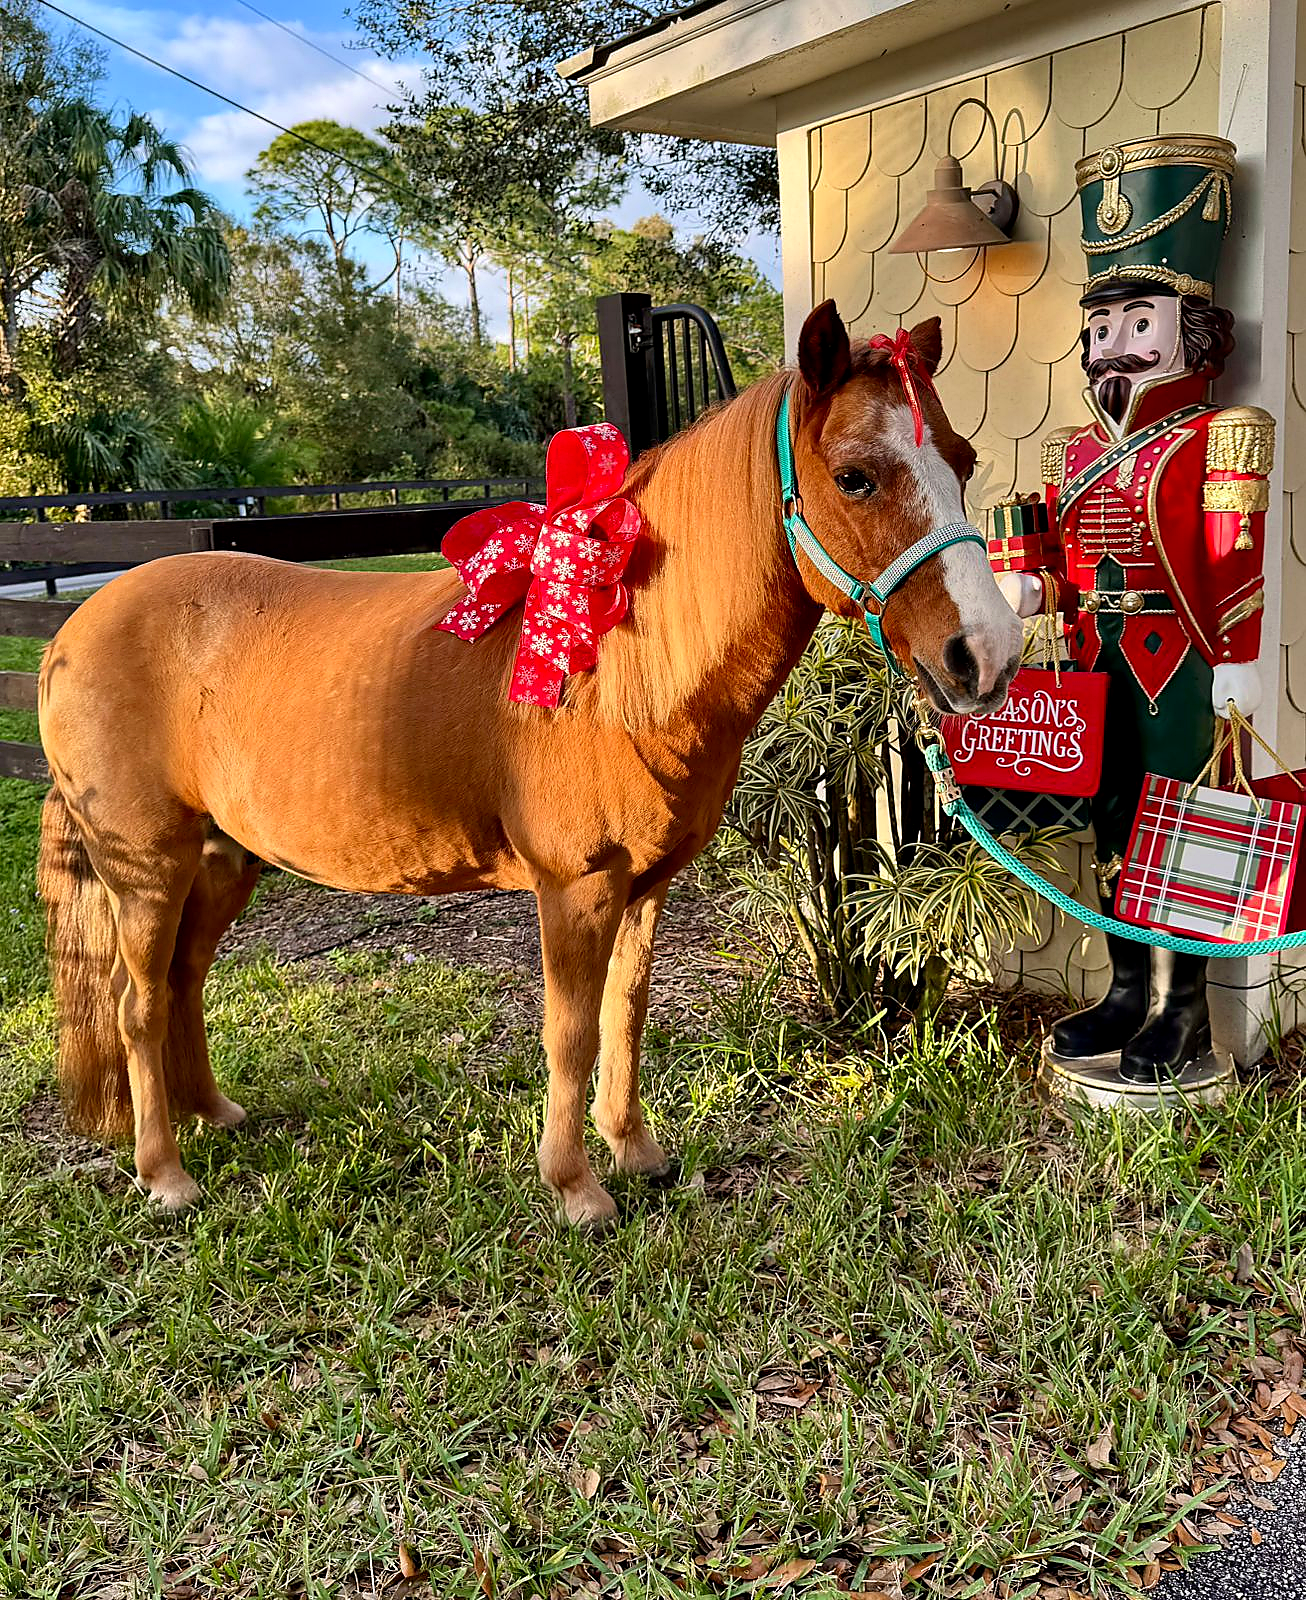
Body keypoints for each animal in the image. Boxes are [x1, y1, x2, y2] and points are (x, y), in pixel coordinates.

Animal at [36, 301, 1022, 1228]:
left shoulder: (645, 885)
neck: (616, 670)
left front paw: (636, 1152)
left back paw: (215, 1114)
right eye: (855, 476)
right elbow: (571, 1033)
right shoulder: (574, 886)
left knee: (183, 982)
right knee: (135, 1002)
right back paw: (166, 1174)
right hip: (146, 866)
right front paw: (577, 1187)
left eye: (964, 462)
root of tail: (70, 634)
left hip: (222, 858)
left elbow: (625, 1014)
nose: (987, 654)